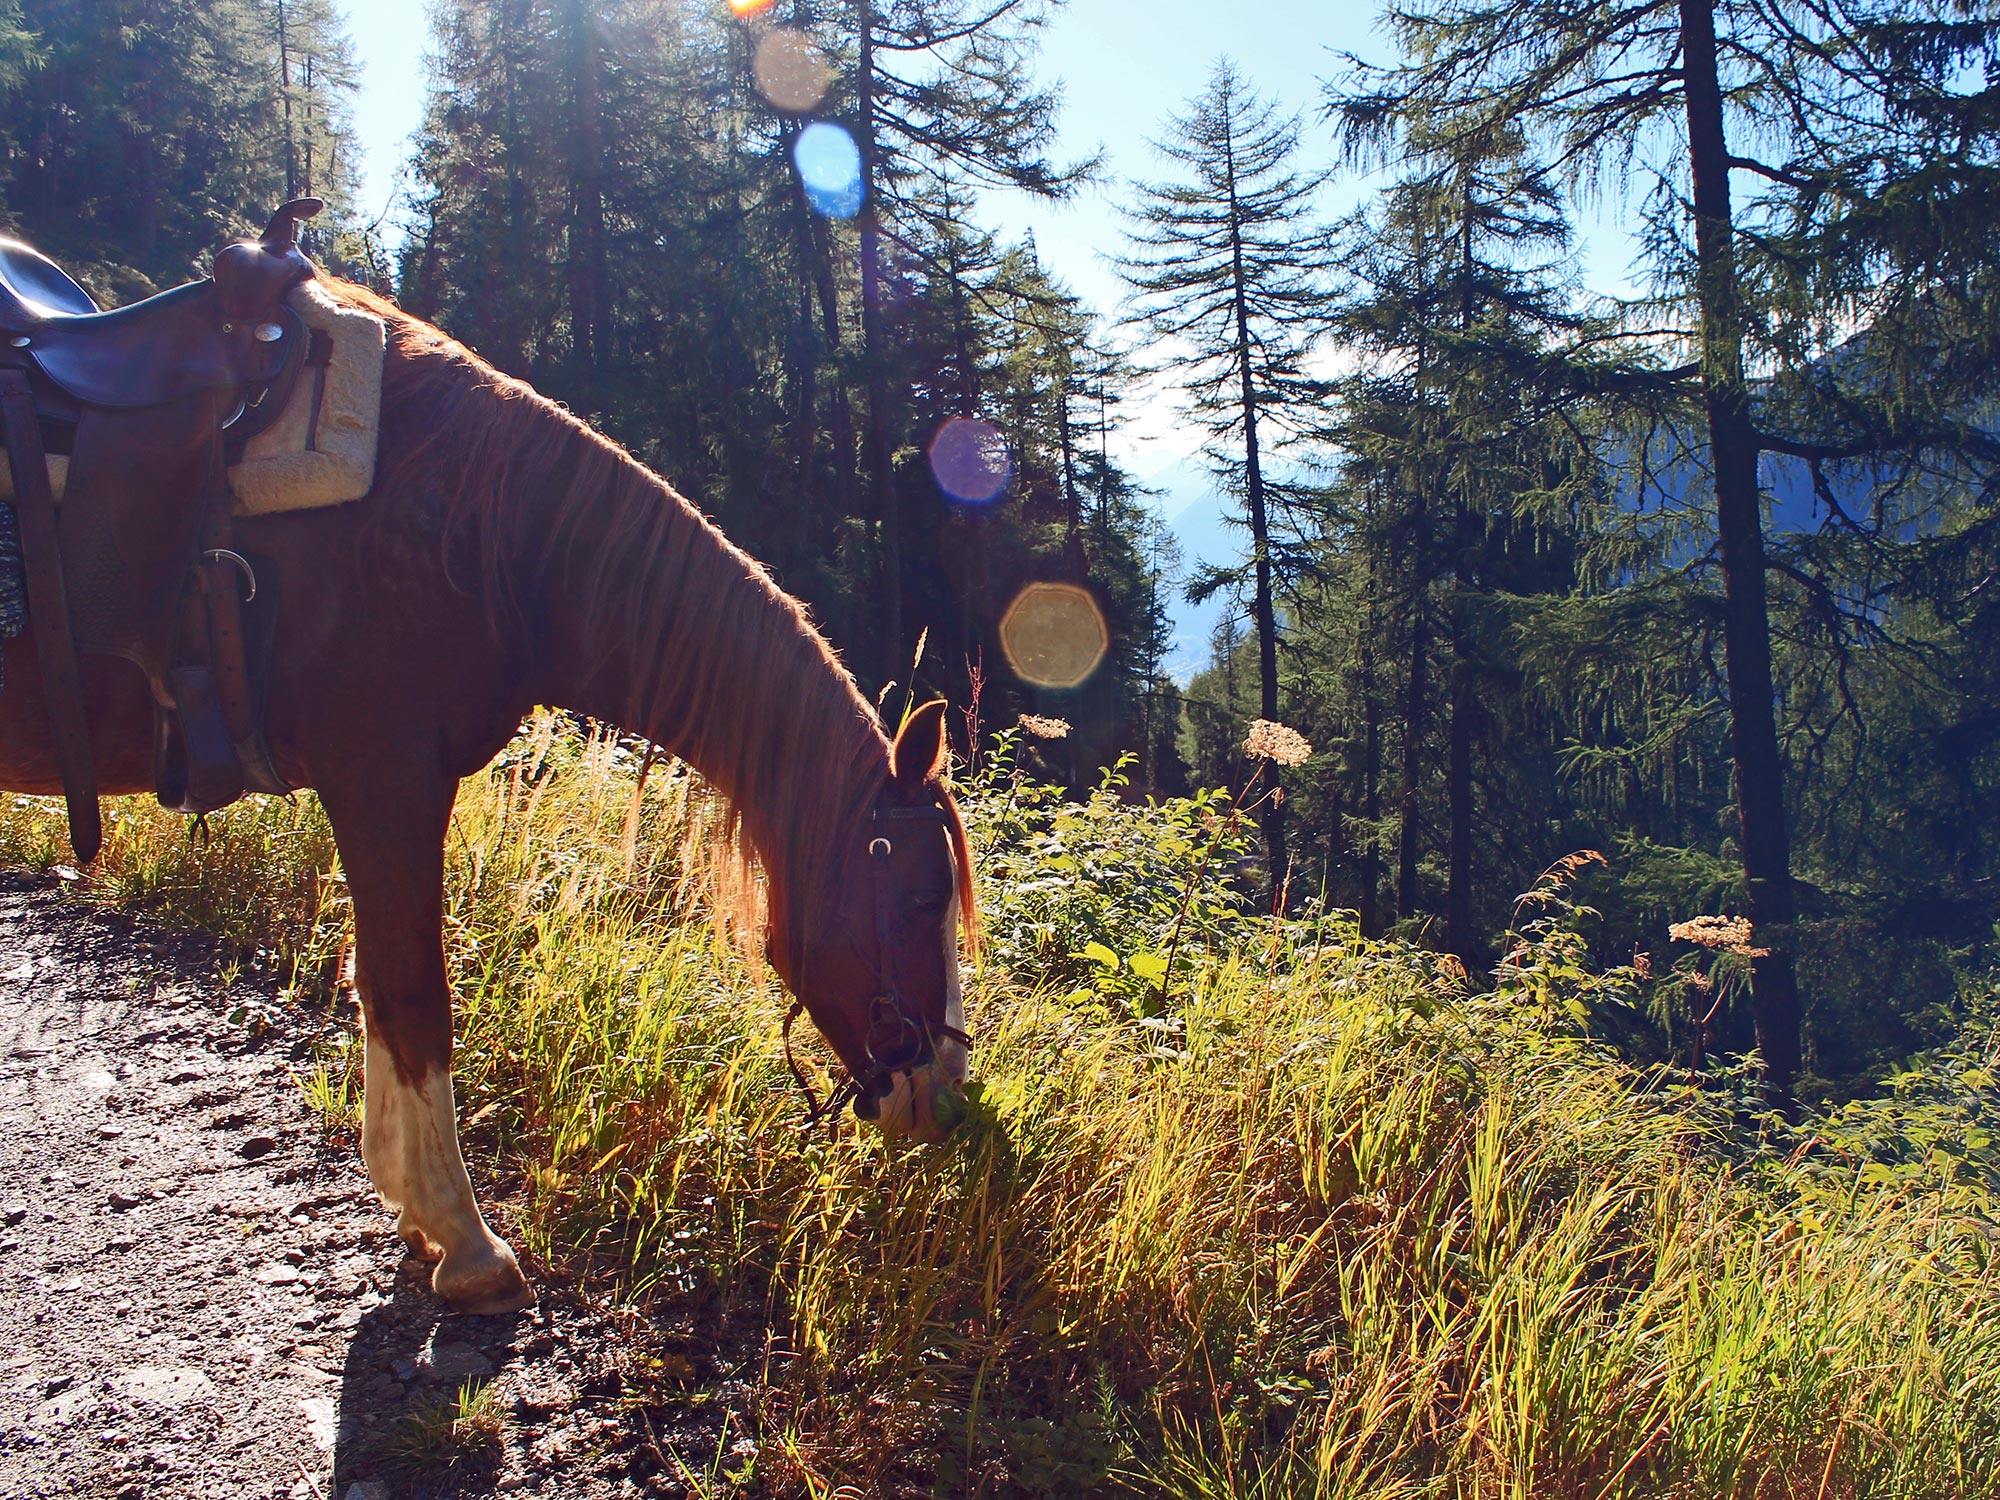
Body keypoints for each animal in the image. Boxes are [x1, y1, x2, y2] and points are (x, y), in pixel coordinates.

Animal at [0, 280, 976, 1312]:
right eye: (921, 895)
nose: (948, 1093)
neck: (481, 535)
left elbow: (376, 987)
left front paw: (411, 1210)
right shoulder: (385, 779)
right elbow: (413, 996)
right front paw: (463, 1239)